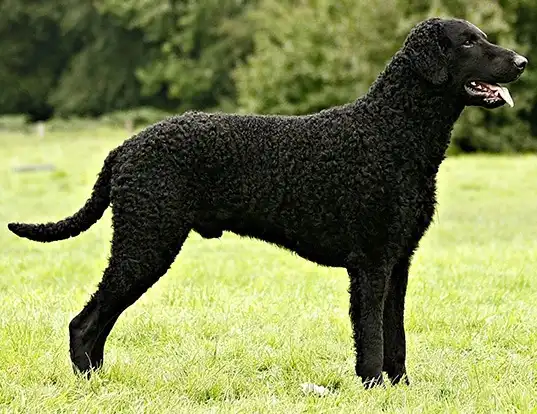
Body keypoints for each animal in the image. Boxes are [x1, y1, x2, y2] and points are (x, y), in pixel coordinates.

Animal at [8, 17, 524, 388]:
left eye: (484, 38)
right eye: (468, 43)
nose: (521, 61)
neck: (391, 129)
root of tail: (126, 147)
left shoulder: (399, 261)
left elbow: (395, 333)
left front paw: (400, 388)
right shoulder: (372, 263)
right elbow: (373, 335)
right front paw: (374, 386)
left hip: (145, 244)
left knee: (100, 320)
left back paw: (99, 379)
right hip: (146, 241)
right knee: (85, 321)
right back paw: (88, 382)